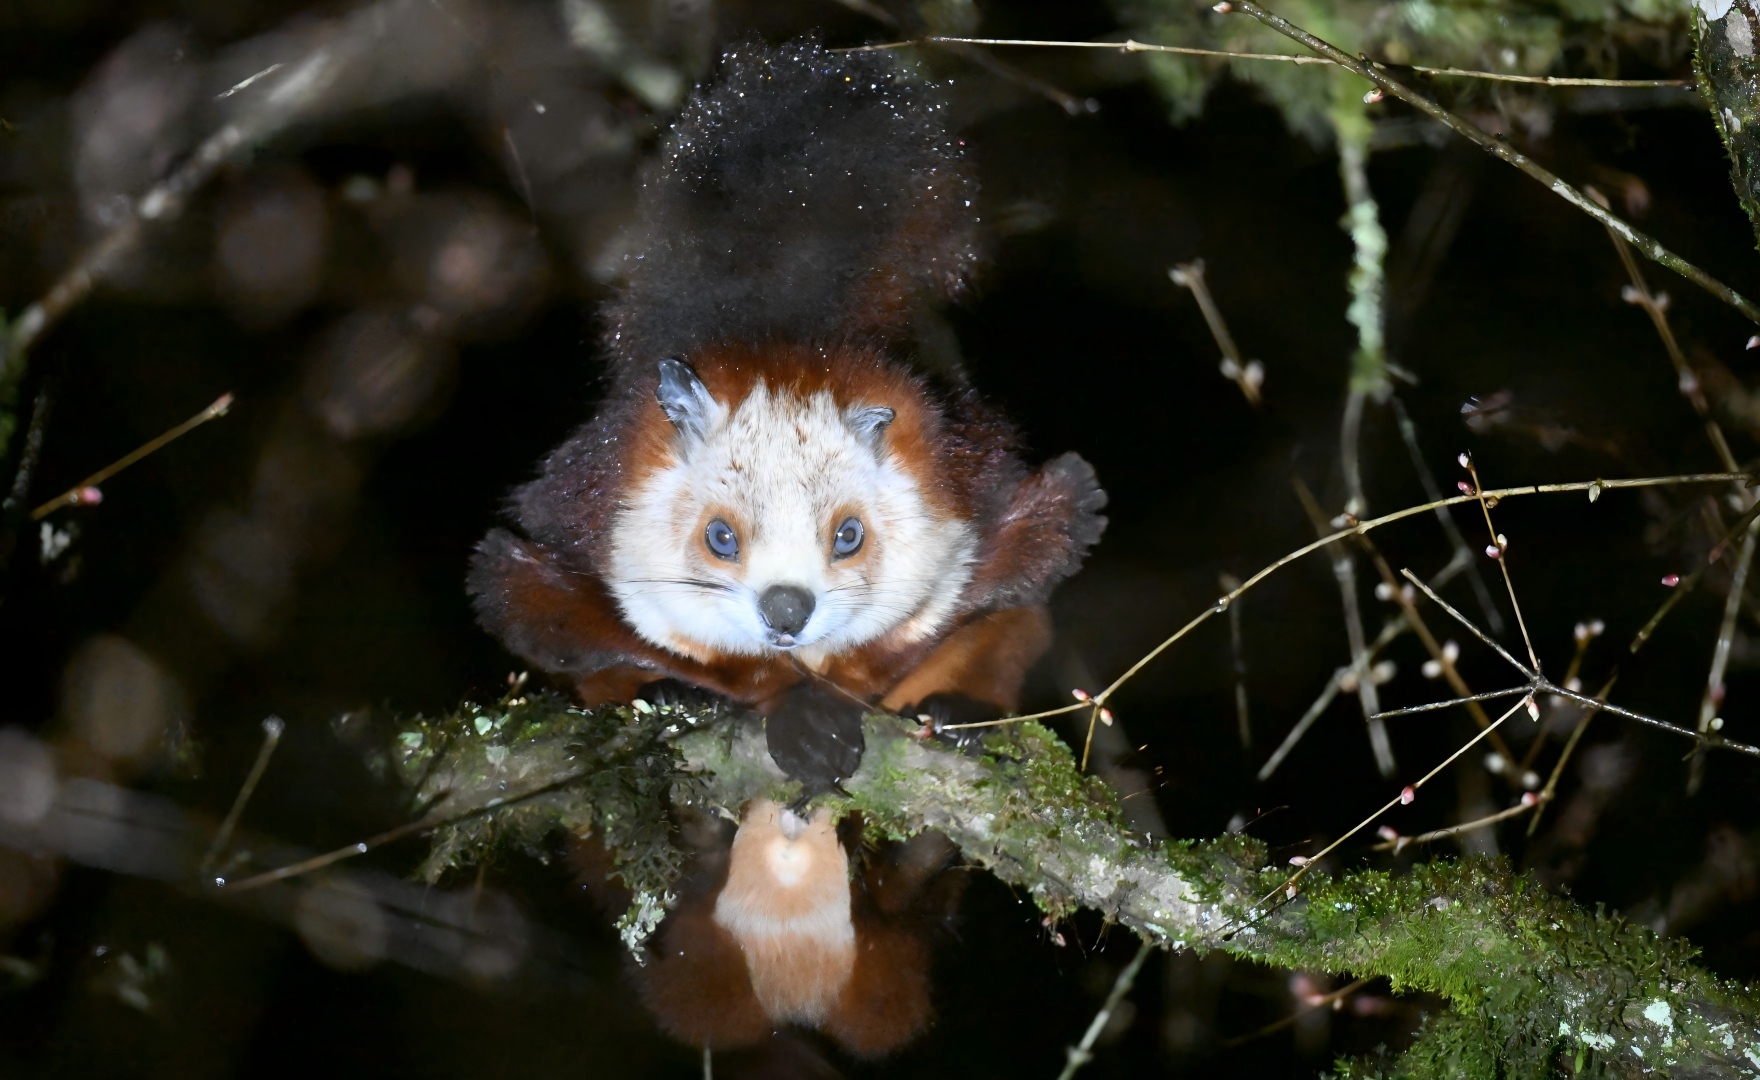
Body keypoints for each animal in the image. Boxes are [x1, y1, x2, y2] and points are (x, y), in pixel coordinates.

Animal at [468, 39, 1106, 1059]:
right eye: (720, 538)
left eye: (848, 536)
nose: (786, 608)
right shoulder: (573, 520)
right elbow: (536, 601)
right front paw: (765, 710)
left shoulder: (974, 497)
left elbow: (1017, 559)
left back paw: (934, 789)